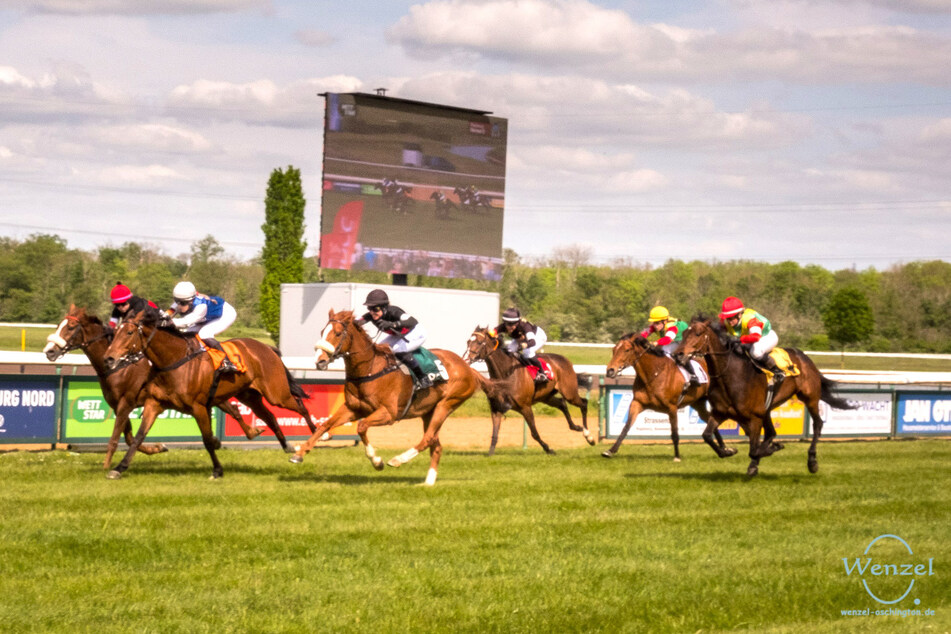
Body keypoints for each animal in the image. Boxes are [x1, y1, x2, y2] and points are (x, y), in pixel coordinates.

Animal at [102, 308, 320, 476]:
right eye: (116, 331)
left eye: (129, 332)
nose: (109, 358)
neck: (173, 361)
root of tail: (267, 348)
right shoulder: (154, 403)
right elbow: (139, 437)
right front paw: (119, 468)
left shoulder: (198, 406)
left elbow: (207, 439)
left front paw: (217, 470)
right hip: (249, 396)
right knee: (270, 417)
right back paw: (286, 445)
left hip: (276, 394)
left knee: (300, 406)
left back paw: (315, 434)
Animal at [292, 308, 494, 484]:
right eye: (322, 331)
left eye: (338, 333)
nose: (320, 361)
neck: (370, 368)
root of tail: (467, 367)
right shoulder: (352, 408)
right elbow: (324, 425)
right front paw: (299, 453)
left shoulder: (388, 413)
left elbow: (362, 427)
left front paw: (377, 461)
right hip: (428, 412)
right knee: (436, 445)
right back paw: (428, 482)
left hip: (446, 405)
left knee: (428, 439)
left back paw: (398, 459)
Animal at [462, 326, 596, 454]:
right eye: (468, 341)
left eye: (479, 342)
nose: (466, 359)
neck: (506, 374)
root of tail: (566, 360)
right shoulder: (496, 408)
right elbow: (494, 434)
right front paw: (489, 454)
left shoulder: (525, 407)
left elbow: (534, 433)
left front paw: (549, 449)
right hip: (545, 396)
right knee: (562, 404)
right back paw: (577, 427)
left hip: (569, 393)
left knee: (583, 403)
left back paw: (589, 436)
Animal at [604, 334, 736, 462]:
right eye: (614, 350)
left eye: (627, 350)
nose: (610, 370)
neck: (654, 374)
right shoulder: (637, 403)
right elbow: (626, 427)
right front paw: (610, 451)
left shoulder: (672, 407)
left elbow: (675, 433)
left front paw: (677, 456)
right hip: (698, 403)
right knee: (710, 420)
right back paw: (725, 449)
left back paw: (724, 449)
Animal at [676, 316, 856, 474]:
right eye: (683, 334)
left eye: (698, 334)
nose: (678, 355)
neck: (731, 375)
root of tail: (805, 357)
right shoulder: (721, 412)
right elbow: (707, 435)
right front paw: (728, 451)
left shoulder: (754, 417)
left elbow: (754, 450)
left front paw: (770, 449)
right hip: (767, 409)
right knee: (771, 433)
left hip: (810, 397)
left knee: (817, 424)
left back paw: (812, 461)